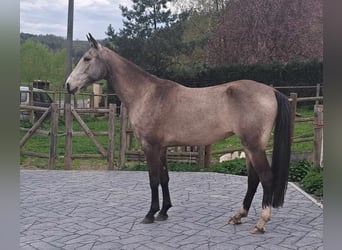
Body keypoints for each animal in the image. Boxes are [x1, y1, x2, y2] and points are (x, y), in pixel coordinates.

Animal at [65, 33, 290, 234]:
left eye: (87, 58)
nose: (68, 85)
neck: (147, 94)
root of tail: (271, 91)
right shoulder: (162, 148)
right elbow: (165, 178)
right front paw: (164, 212)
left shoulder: (150, 146)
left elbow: (153, 179)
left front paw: (150, 214)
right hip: (249, 147)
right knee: (253, 180)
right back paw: (238, 216)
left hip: (254, 147)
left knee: (266, 178)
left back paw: (261, 223)